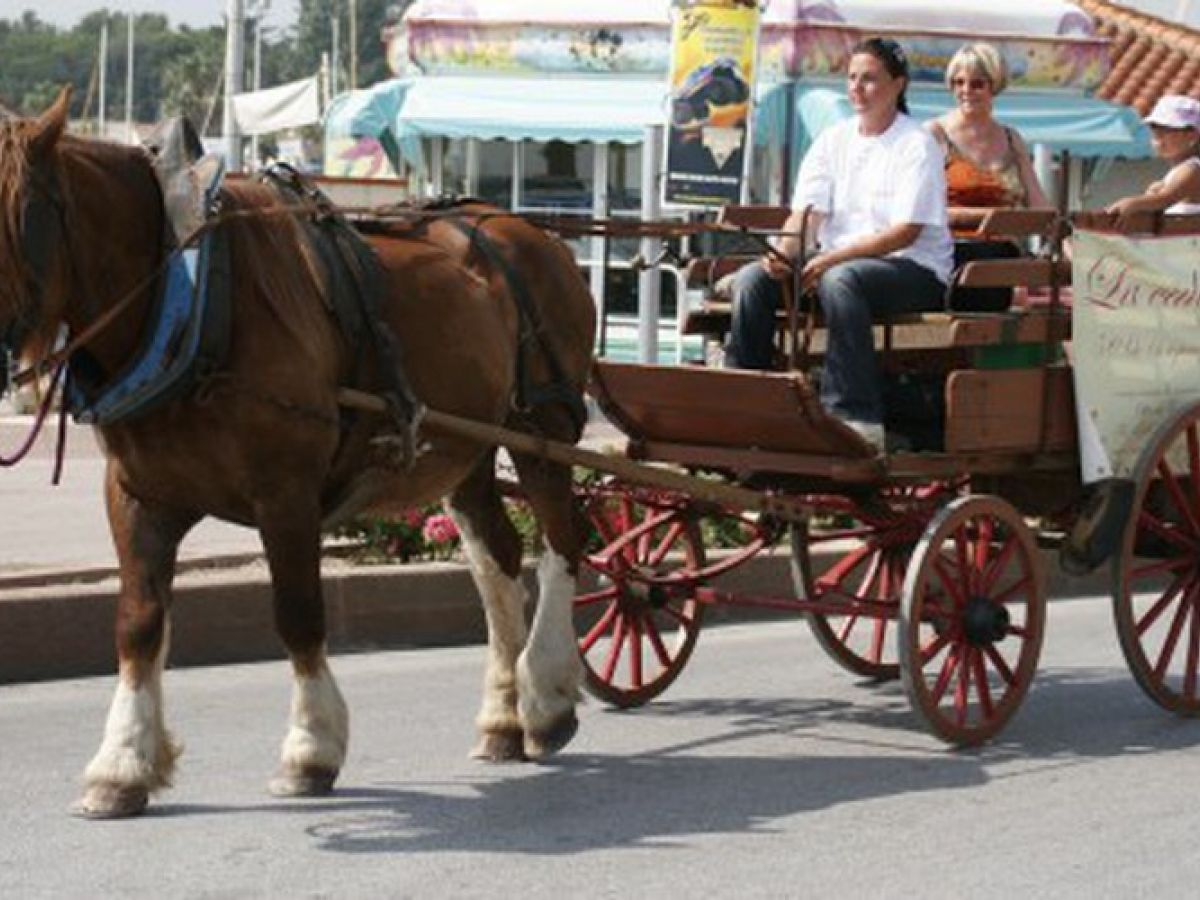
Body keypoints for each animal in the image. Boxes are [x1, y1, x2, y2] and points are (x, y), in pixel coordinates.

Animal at [0, 90, 595, 816]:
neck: (193, 293)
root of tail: (530, 233)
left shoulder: (286, 492)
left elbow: (298, 615)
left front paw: (311, 749)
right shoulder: (137, 495)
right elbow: (138, 624)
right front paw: (123, 762)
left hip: (542, 430)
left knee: (563, 539)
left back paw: (546, 697)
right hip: (469, 448)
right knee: (498, 559)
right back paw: (502, 718)